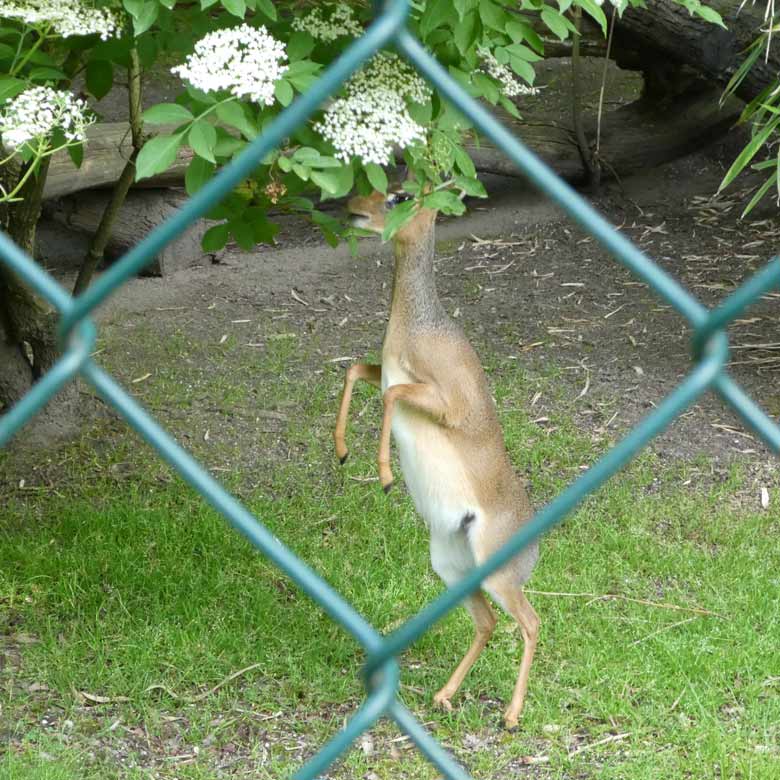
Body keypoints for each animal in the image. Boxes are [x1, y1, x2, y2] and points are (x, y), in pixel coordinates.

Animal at [332, 186, 540, 728]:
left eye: (401, 195)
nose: (353, 208)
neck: (420, 324)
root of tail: (534, 547)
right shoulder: (384, 371)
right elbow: (355, 370)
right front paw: (341, 450)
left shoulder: (445, 403)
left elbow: (388, 395)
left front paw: (384, 474)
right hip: (454, 568)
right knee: (488, 623)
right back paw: (444, 695)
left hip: (497, 575)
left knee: (530, 623)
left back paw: (511, 716)